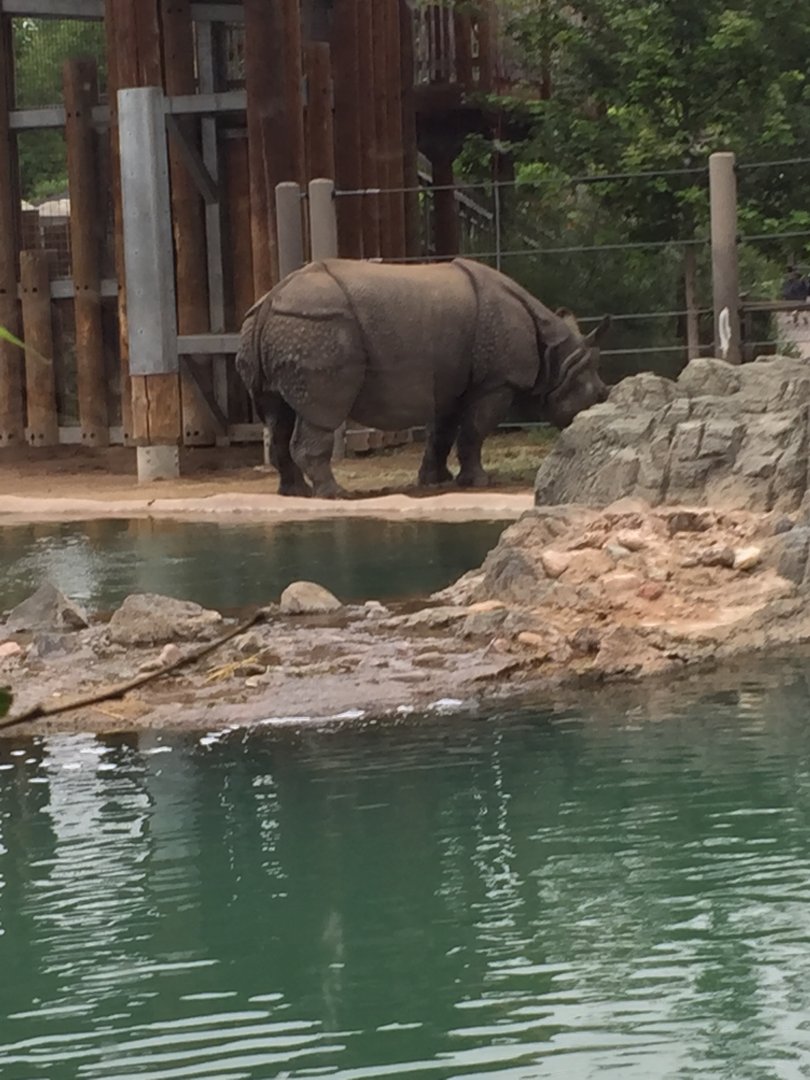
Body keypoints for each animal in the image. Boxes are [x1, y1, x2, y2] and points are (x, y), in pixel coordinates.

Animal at [236, 257, 611, 498]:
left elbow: (442, 433)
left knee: (276, 414)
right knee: (322, 411)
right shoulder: (496, 382)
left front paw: (436, 482)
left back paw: (294, 492)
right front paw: (478, 483)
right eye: (598, 395)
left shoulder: (452, 382)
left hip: (282, 325)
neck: (558, 353)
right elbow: (474, 431)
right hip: (317, 326)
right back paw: (334, 494)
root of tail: (271, 298)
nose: (604, 398)